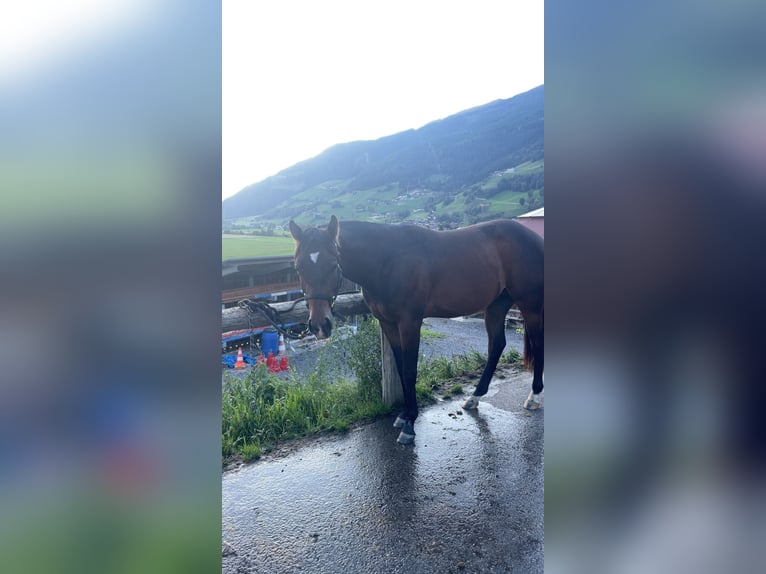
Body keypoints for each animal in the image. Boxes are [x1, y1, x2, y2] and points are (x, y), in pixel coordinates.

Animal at [289, 215, 544, 445]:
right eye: (298, 267)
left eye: (333, 265)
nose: (319, 325)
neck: (386, 259)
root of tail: (534, 238)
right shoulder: (388, 323)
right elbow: (401, 368)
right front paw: (403, 416)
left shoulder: (410, 322)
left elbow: (410, 371)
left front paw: (410, 425)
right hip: (496, 306)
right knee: (496, 346)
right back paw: (474, 397)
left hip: (530, 305)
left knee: (538, 343)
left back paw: (534, 396)